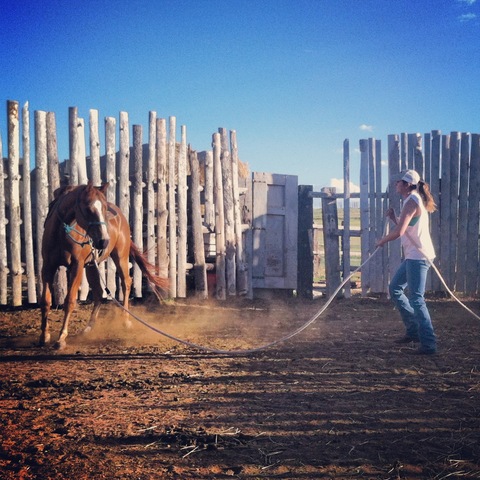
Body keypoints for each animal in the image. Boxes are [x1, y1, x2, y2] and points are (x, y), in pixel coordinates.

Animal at [40, 180, 170, 348]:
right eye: (88, 208)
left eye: (104, 208)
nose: (104, 241)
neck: (62, 233)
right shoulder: (47, 267)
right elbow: (46, 300)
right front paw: (44, 336)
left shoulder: (76, 266)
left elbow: (69, 300)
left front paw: (61, 338)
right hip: (91, 266)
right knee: (99, 293)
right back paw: (88, 328)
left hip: (120, 257)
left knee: (126, 283)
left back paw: (126, 321)